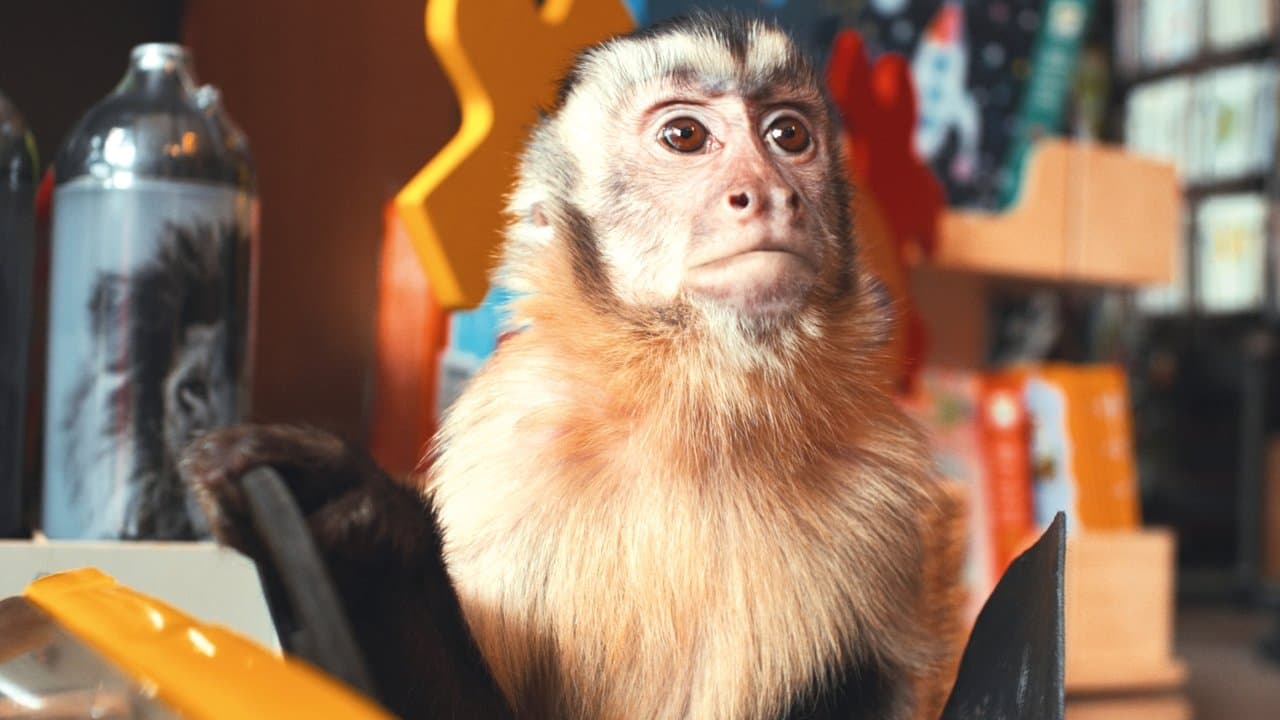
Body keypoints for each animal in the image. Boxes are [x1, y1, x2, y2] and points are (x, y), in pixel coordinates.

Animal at [181, 12, 957, 720]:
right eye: (685, 137)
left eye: (789, 136)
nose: (769, 195)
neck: (702, 403)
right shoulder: (511, 440)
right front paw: (364, 545)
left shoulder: (887, 494)